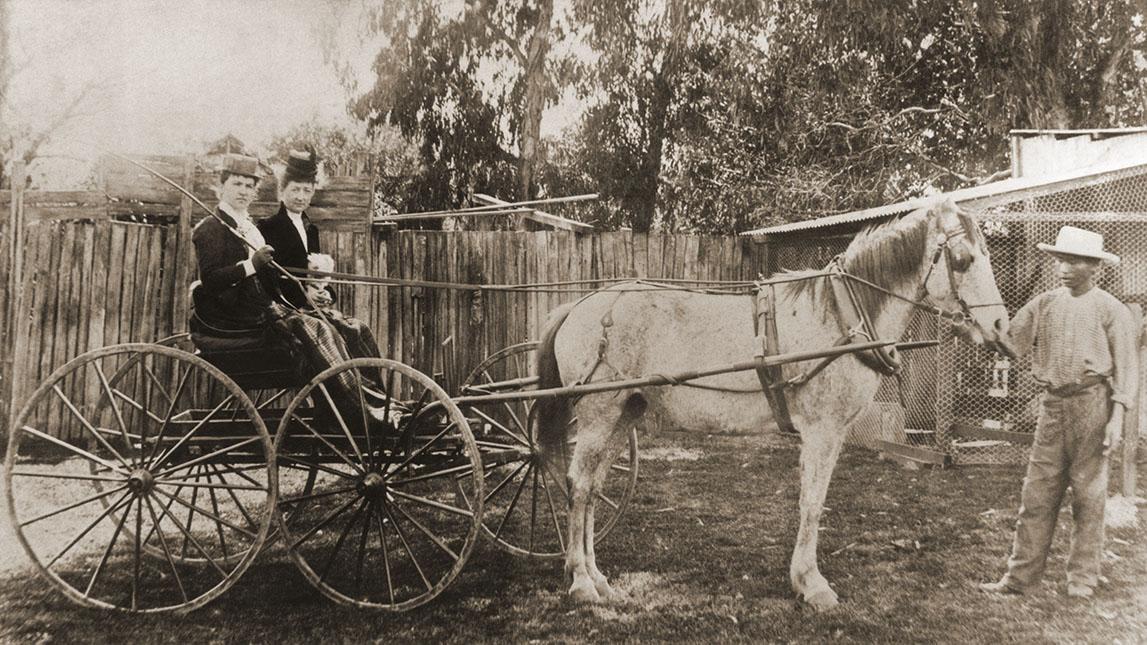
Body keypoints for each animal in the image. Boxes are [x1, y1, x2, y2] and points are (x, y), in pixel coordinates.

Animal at [532, 196, 1009, 605]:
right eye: (963, 259)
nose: (1001, 326)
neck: (841, 316)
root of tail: (582, 305)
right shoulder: (822, 431)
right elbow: (812, 502)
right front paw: (811, 583)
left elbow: (812, 500)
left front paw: (804, 578)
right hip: (598, 416)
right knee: (578, 485)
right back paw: (581, 582)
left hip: (623, 414)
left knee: (593, 487)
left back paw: (596, 576)